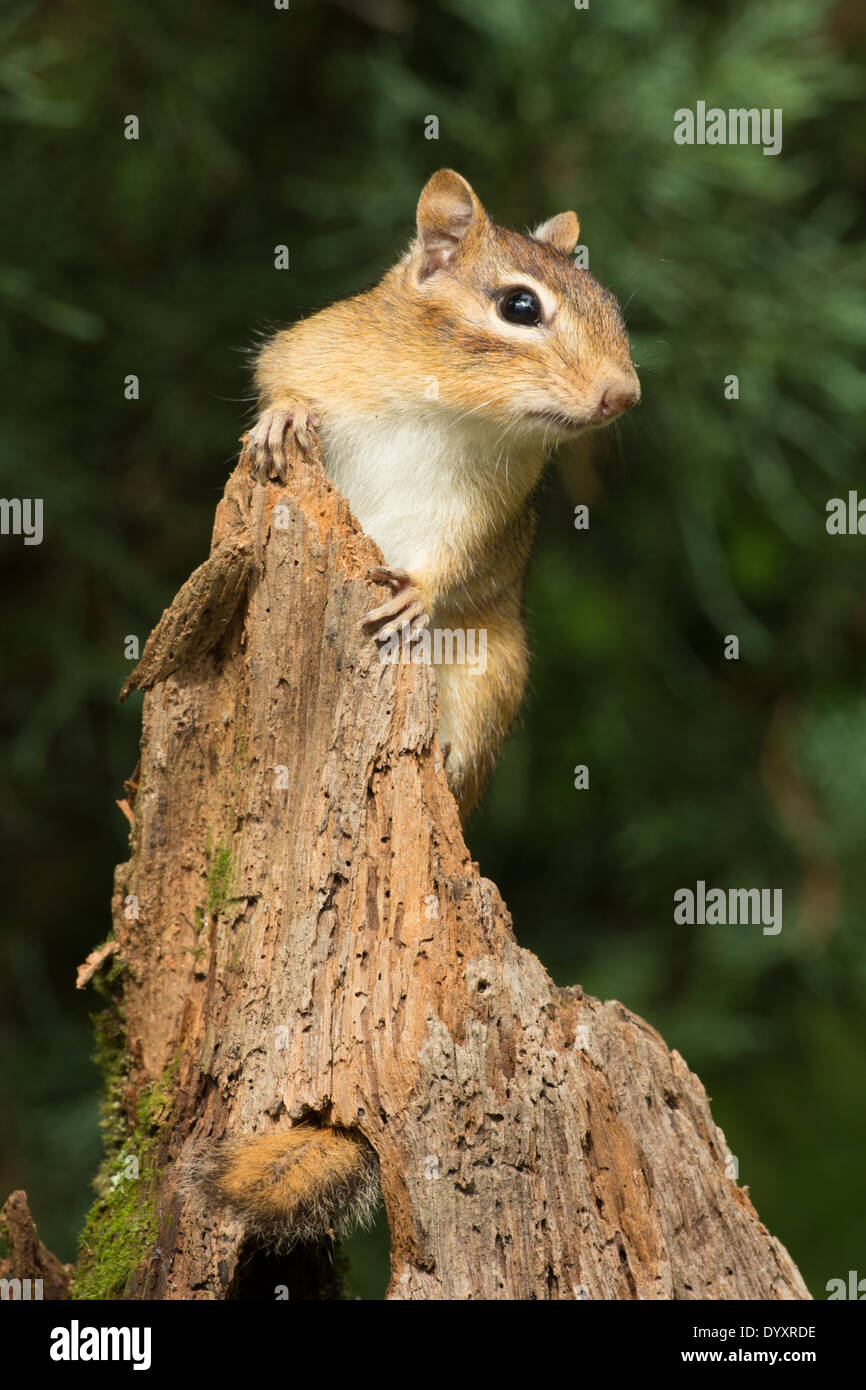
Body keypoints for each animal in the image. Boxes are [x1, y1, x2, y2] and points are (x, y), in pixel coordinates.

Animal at [245, 169, 640, 819]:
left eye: (608, 302)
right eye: (520, 306)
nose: (624, 394)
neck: (444, 406)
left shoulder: (487, 500)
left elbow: (460, 548)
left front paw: (418, 595)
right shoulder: (317, 346)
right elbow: (276, 373)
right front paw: (284, 416)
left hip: (495, 671)